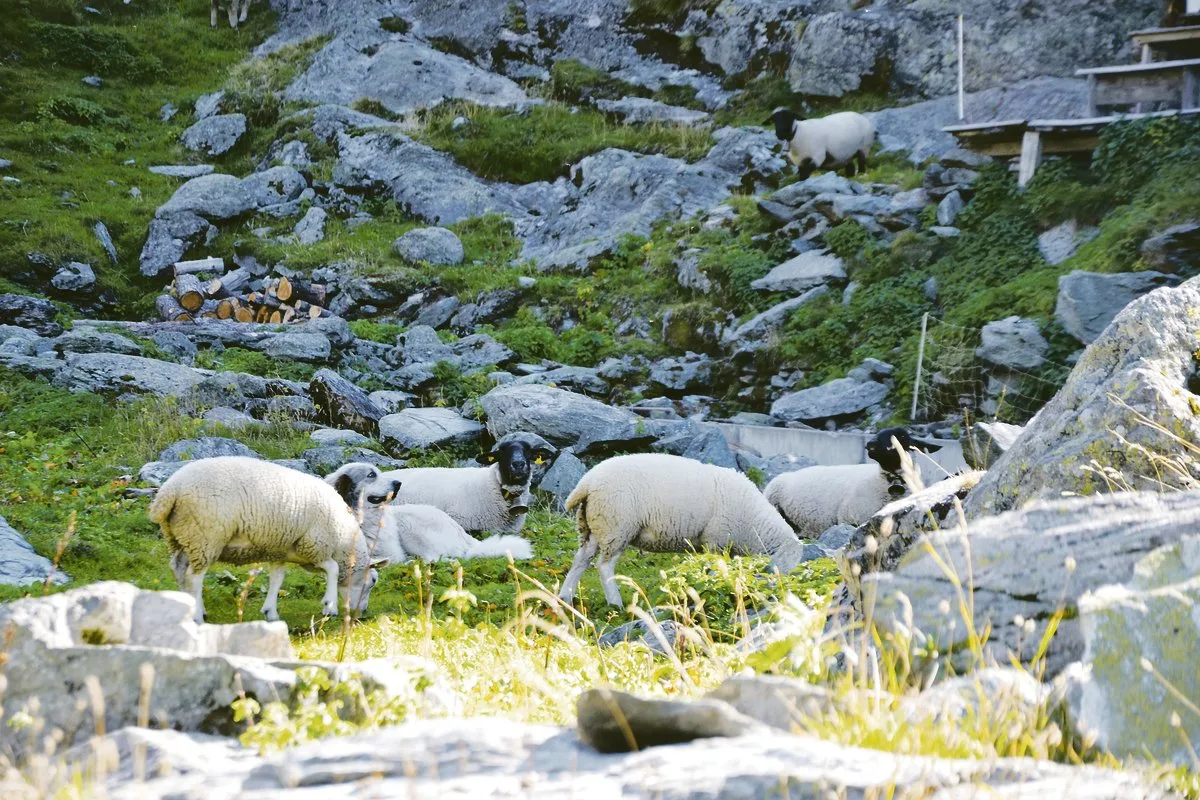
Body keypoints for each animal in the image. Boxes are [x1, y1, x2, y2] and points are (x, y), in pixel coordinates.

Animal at [147, 456, 389, 624]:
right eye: (372, 581)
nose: (362, 612)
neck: (344, 541)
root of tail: (170, 490)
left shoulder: (281, 549)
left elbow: (277, 579)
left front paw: (270, 612)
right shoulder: (315, 543)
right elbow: (333, 570)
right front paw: (329, 606)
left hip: (181, 536)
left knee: (179, 570)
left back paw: (187, 608)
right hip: (206, 537)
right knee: (194, 577)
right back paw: (198, 615)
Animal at [326, 464, 534, 563]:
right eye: (371, 475)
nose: (398, 483)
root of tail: (462, 533)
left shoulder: (392, 553)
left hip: (411, 527)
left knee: (439, 558)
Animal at [557, 453, 810, 607]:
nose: (778, 595)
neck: (755, 524)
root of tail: (588, 482)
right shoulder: (715, 541)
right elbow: (714, 571)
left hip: (592, 525)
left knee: (581, 560)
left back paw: (565, 596)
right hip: (617, 525)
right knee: (604, 566)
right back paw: (615, 602)